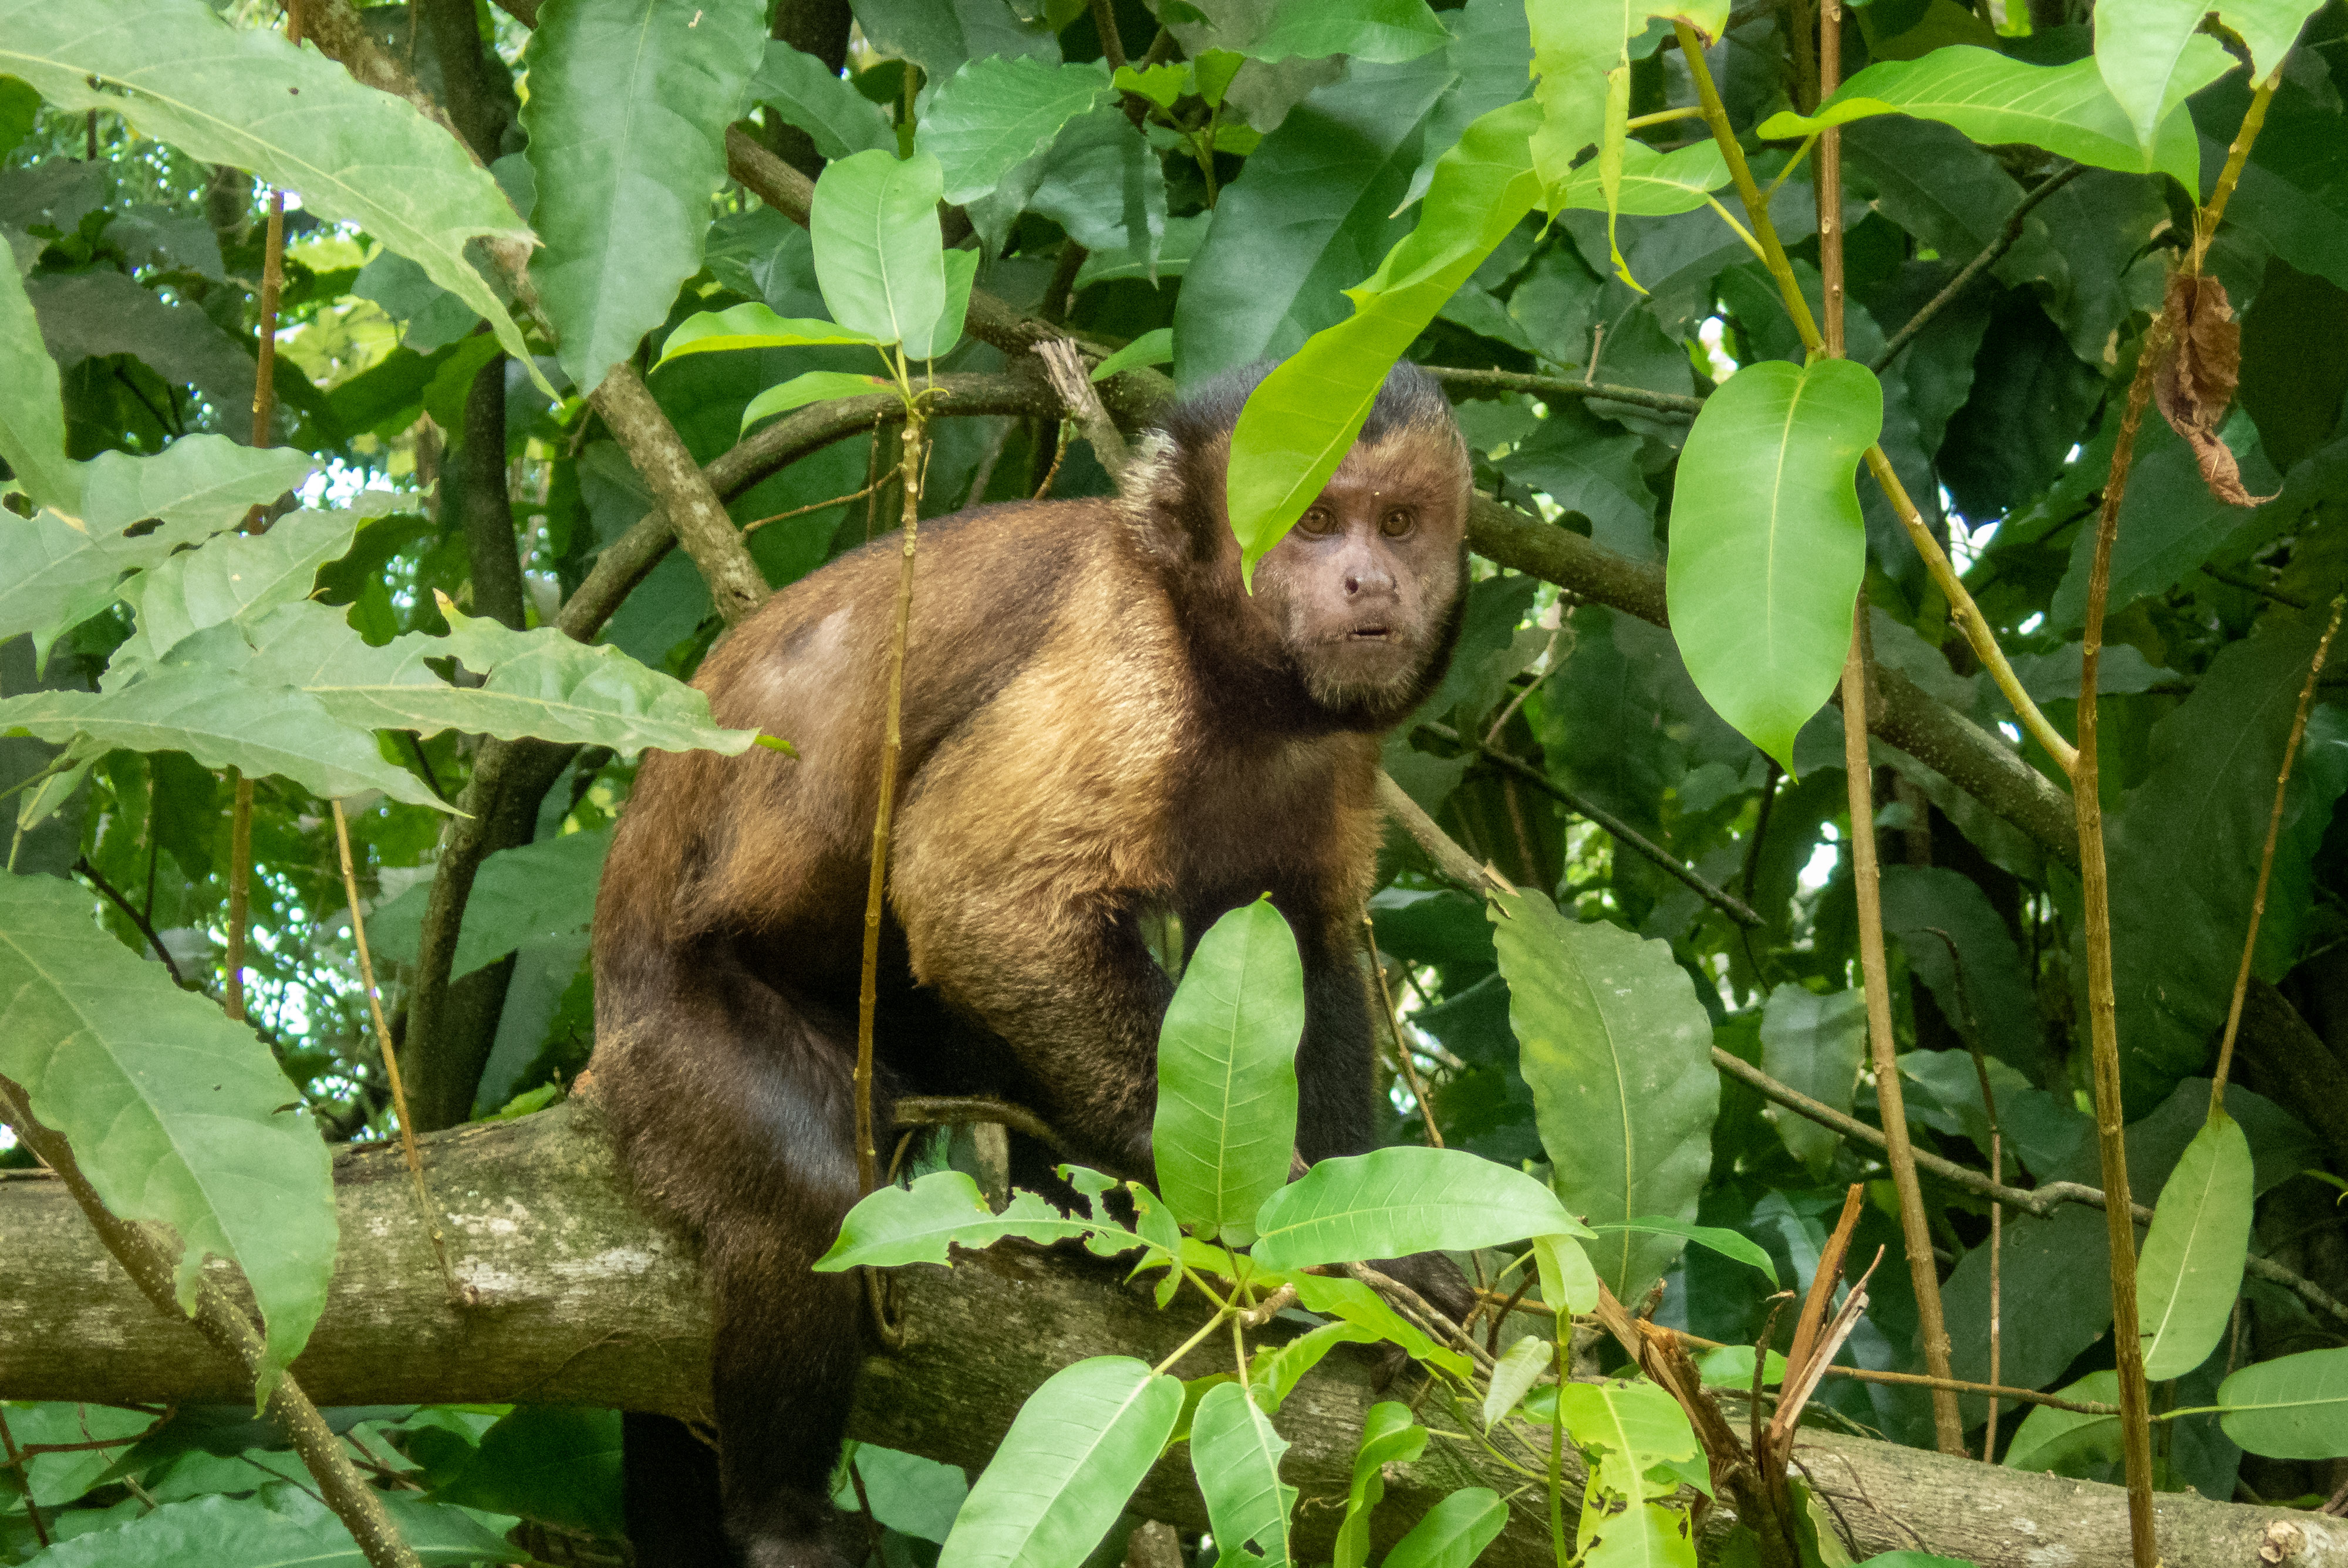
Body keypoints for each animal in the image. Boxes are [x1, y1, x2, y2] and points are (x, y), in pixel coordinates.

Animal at [588, 359, 1478, 1568]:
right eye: (1312, 520)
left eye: (1396, 523)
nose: (1367, 576)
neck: (1225, 666)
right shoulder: (1120, 665)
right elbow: (979, 901)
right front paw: (1293, 1242)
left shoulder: (1334, 745)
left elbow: (1302, 946)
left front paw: (1374, 1245)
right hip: (664, 1033)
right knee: (813, 1182)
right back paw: (778, 1516)